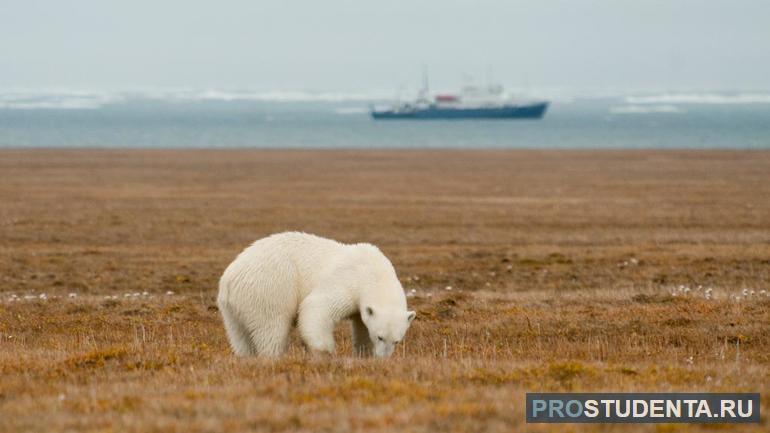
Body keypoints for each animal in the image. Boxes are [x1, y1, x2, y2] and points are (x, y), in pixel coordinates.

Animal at [216, 231, 414, 356]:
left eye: (397, 341)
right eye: (380, 337)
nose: (383, 357)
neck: (374, 272)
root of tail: (229, 280)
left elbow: (362, 327)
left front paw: (365, 354)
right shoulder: (347, 281)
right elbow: (316, 308)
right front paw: (325, 352)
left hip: (232, 309)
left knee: (240, 336)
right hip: (269, 288)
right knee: (272, 328)